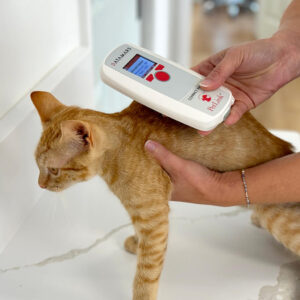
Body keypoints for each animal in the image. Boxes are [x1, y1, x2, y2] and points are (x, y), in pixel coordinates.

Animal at [31, 91, 300, 300]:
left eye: (53, 170)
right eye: (37, 166)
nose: (40, 185)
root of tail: (282, 146)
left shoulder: (155, 218)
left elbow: (146, 272)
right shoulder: (142, 213)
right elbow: (139, 233)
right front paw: (135, 242)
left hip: (279, 219)